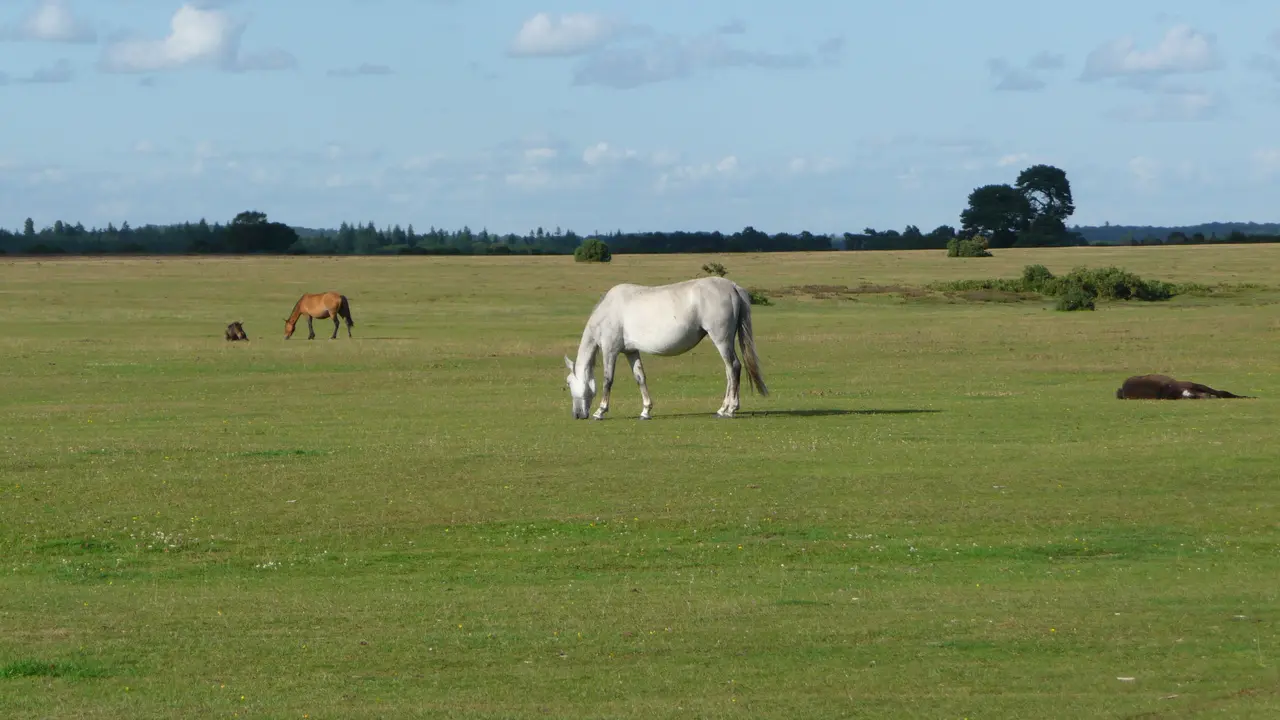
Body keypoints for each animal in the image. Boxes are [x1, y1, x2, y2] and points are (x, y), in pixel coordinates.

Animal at [564, 276, 767, 420]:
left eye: (568, 383)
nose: (577, 415)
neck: (608, 310)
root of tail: (732, 286)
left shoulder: (610, 350)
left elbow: (608, 380)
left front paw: (600, 411)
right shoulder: (631, 351)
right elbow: (640, 377)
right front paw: (645, 411)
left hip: (721, 340)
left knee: (734, 367)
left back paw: (731, 409)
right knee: (729, 371)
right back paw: (723, 408)